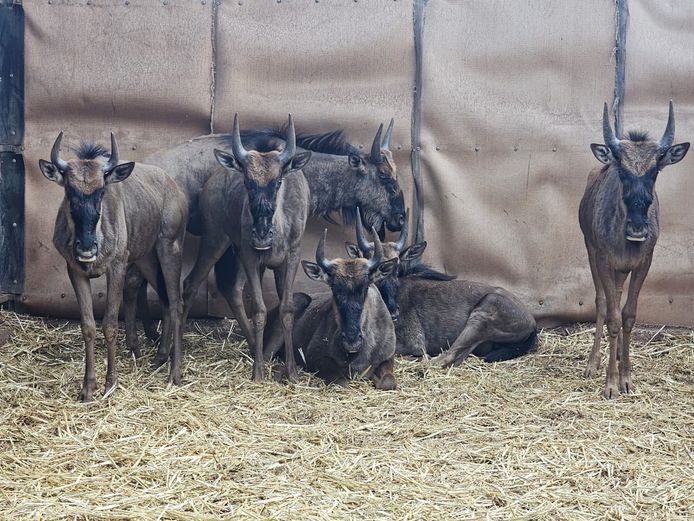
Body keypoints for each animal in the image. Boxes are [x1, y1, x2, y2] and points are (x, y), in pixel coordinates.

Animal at [39, 132, 187, 401]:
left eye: (101, 191)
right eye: (69, 190)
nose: (87, 248)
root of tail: (173, 186)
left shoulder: (117, 267)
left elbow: (109, 324)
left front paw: (110, 384)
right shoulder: (75, 271)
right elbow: (88, 326)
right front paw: (88, 388)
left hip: (169, 248)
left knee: (176, 302)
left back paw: (175, 374)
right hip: (146, 258)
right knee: (164, 299)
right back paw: (159, 357)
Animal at [347, 211, 537, 364]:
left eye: (398, 266)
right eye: (373, 267)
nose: (394, 312)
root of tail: (533, 323)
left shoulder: (414, 343)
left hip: (480, 318)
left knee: (447, 357)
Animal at [579, 102, 689, 399]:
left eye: (655, 172)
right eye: (621, 172)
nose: (638, 228)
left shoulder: (643, 263)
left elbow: (628, 316)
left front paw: (626, 378)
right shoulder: (603, 259)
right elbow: (612, 316)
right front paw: (610, 383)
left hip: (622, 270)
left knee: (616, 299)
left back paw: (616, 356)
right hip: (591, 251)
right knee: (603, 303)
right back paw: (593, 363)